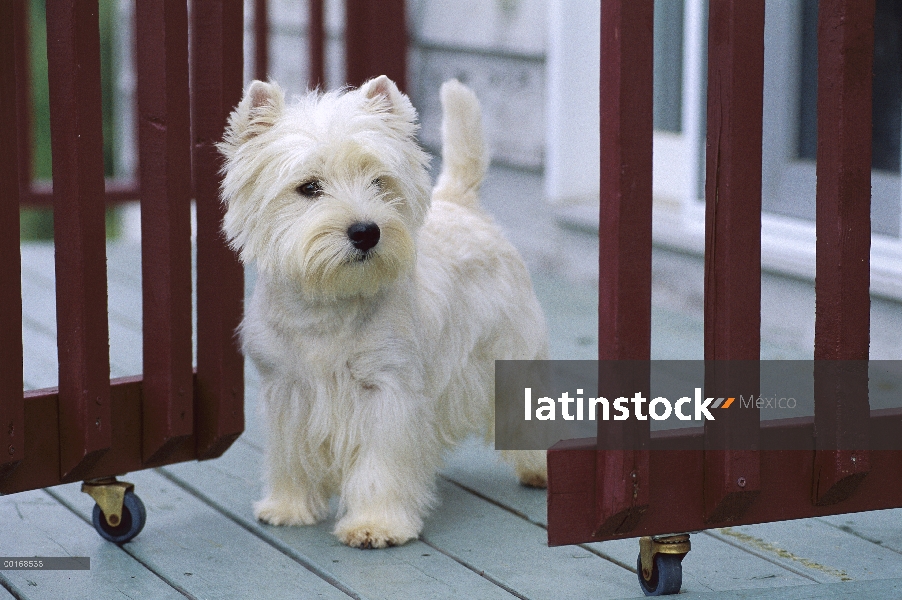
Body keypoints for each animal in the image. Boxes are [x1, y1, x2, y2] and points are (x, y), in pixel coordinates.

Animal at [219, 75, 552, 548]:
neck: (328, 304)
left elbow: (379, 466)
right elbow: (290, 456)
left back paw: (541, 469)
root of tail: (462, 202)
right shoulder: (287, 391)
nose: (366, 231)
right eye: (309, 187)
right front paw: (289, 507)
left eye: (379, 182)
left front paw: (376, 525)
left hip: (513, 351)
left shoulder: (386, 390)